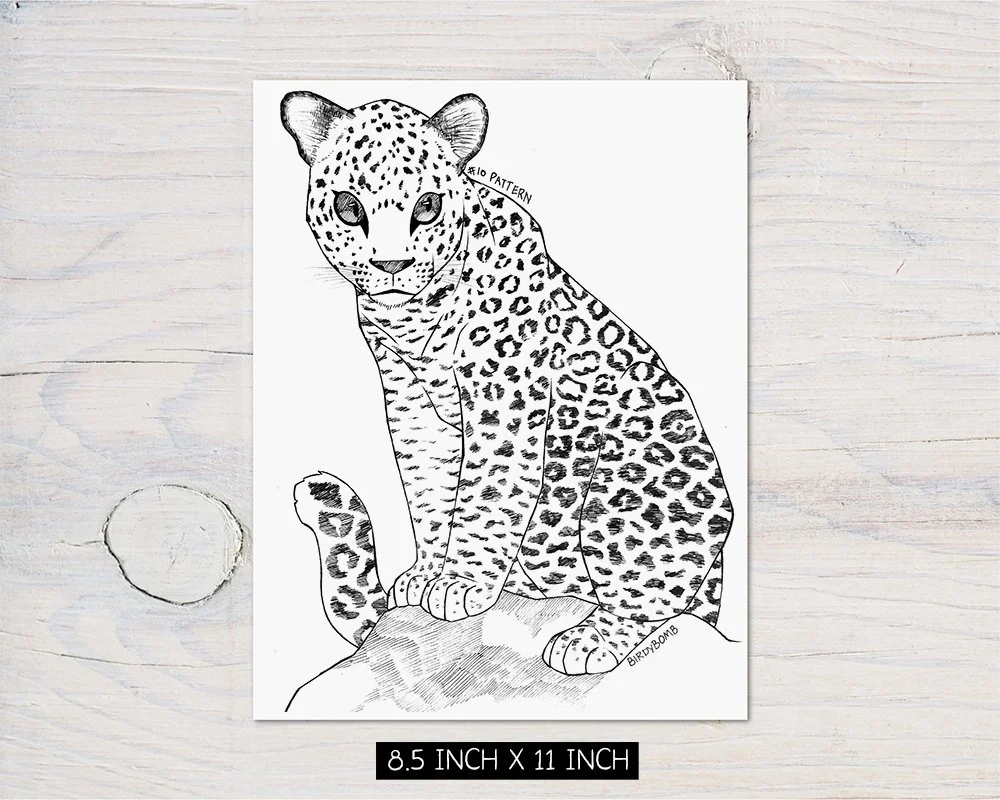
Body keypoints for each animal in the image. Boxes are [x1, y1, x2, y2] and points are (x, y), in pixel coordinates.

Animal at [282, 91, 733, 675]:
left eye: (426, 207)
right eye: (349, 207)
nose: (392, 264)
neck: (413, 318)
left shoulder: (504, 393)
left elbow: (488, 489)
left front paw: (459, 582)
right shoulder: (411, 401)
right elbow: (427, 486)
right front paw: (427, 573)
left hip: (632, 488)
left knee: (650, 595)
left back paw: (589, 640)